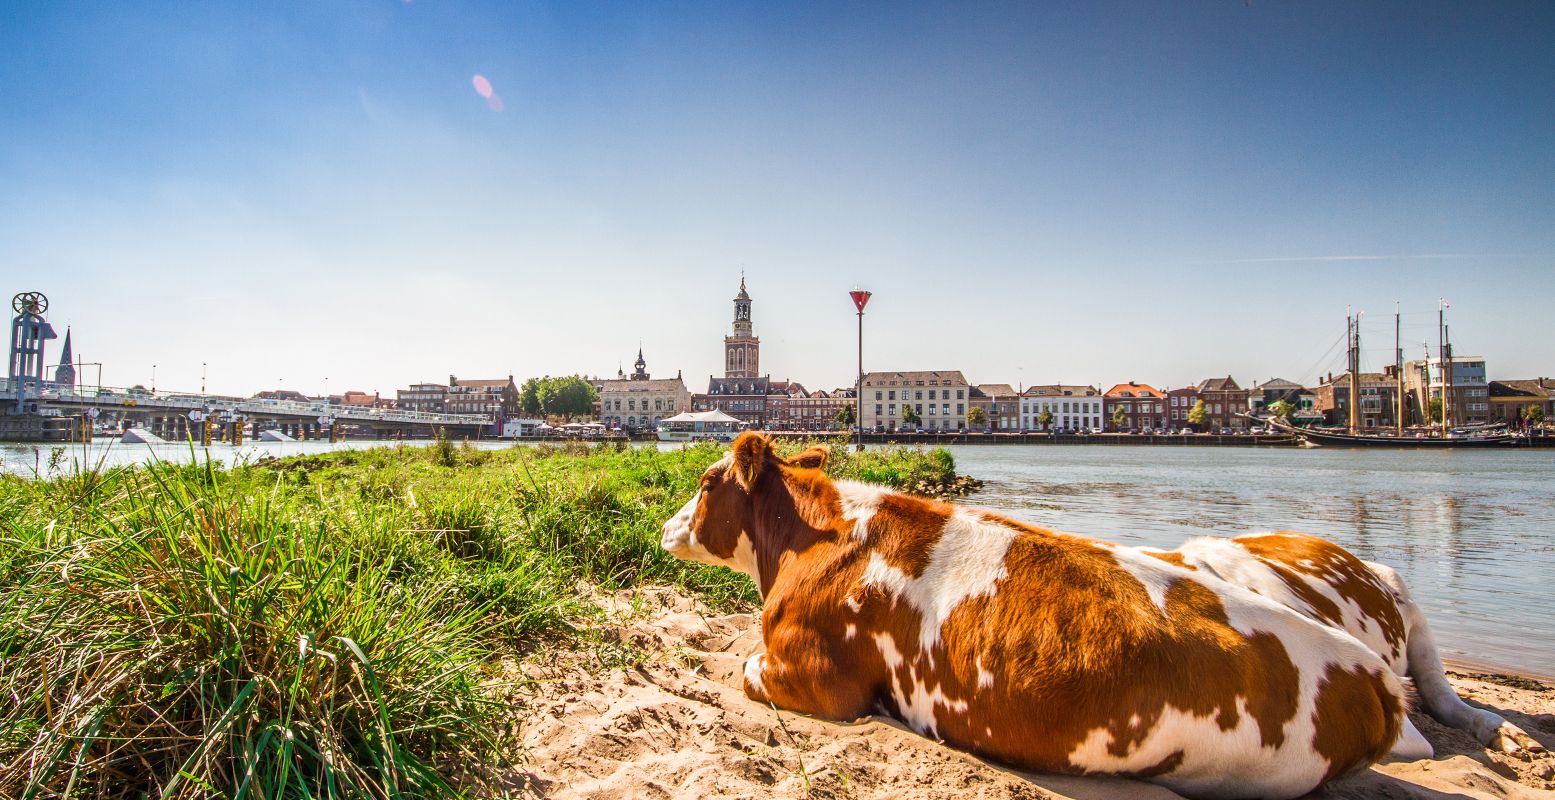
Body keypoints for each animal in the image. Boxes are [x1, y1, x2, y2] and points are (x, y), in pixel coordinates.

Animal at [656, 432, 1530, 796]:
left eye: (704, 482)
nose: (665, 527)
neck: (812, 540)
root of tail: (1369, 674)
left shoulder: (812, 676)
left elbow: (740, 664)